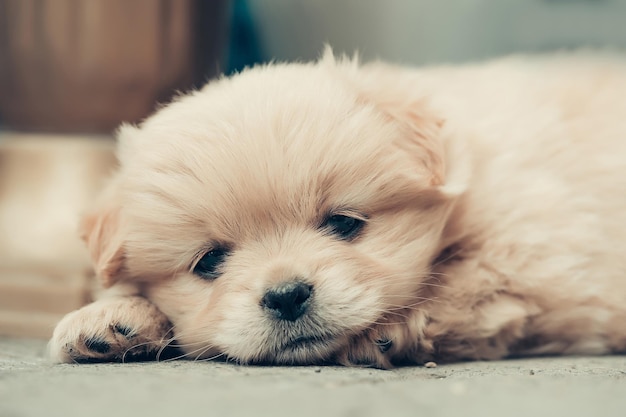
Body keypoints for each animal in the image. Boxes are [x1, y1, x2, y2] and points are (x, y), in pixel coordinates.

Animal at [47, 49, 624, 368]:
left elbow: (462, 287)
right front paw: (108, 318)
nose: (286, 296)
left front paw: (389, 332)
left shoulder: (534, 256)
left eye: (344, 224)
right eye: (209, 262)